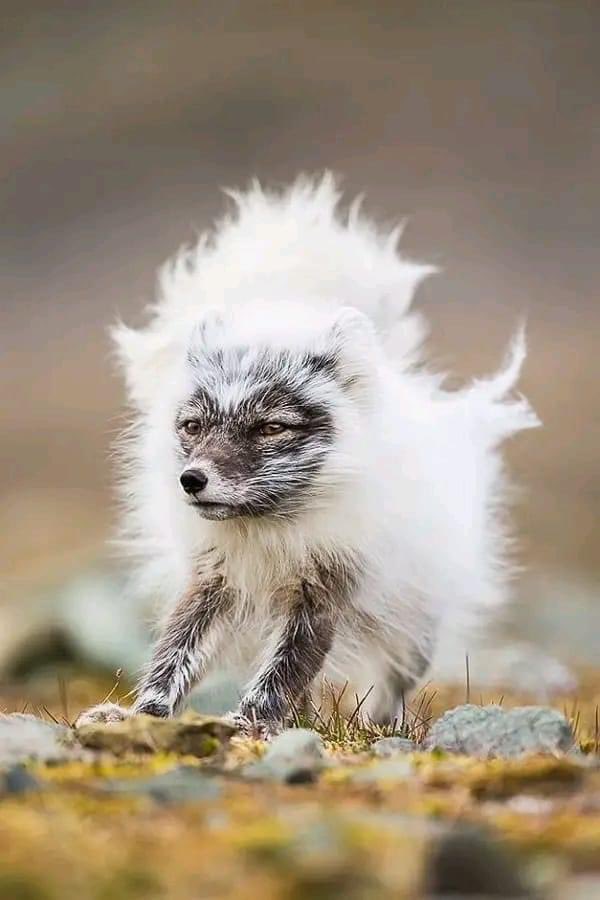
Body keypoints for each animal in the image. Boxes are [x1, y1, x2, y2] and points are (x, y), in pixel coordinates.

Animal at [76, 174, 540, 735]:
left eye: (271, 427)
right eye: (192, 426)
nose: (192, 479)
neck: (269, 531)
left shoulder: (323, 593)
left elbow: (283, 670)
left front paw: (248, 725)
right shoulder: (213, 581)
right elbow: (174, 654)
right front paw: (141, 715)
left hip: (413, 619)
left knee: (393, 676)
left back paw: (383, 726)